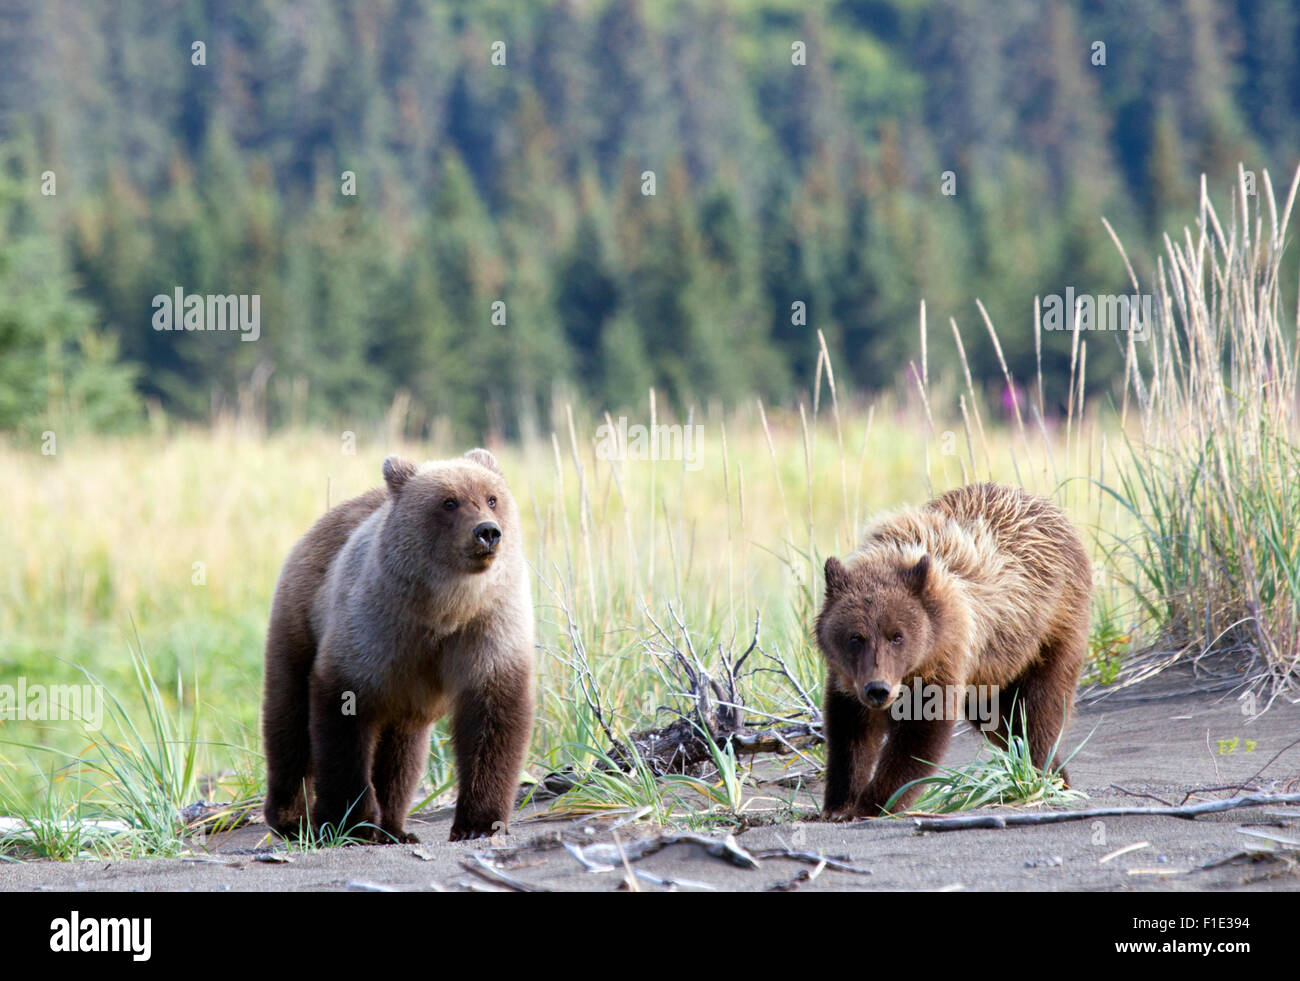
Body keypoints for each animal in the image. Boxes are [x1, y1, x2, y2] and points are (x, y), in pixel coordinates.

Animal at [261, 448, 535, 843]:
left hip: (407, 695)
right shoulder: (373, 627)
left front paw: (479, 823)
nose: (487, 532)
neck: (445, 608)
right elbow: (342, 720)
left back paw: (394, 827)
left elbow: (493, 717)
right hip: (300, 618)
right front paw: (351, 821)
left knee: (402, 752)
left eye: (492, 498)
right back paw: (291, 819)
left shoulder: (487, 628)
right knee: (288, 718)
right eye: (448, 502)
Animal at [816, 481, 1090, 819]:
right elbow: (849, 734)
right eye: (855, 637)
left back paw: (1041, 774)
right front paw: (839, 803)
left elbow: (919, 736)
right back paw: (1056, 774)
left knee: (1038, 710)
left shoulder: (944, 655)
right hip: (991, 673)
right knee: (999, 722)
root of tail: (1051, 508)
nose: (877, 689)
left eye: (897, 636)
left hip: (1048, 631)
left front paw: (875, 802)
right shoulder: (849, 679)